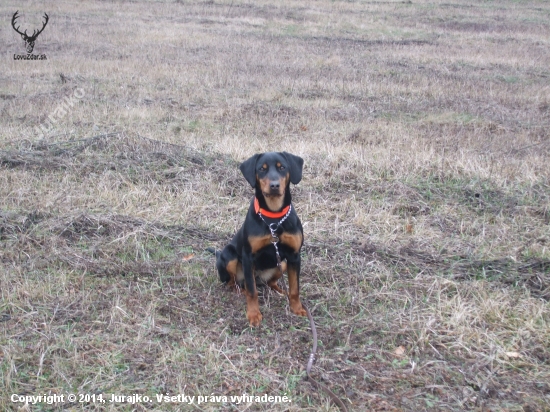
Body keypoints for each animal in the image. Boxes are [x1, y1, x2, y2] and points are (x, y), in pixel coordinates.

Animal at [210, 153, 308, 326]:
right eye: (262, 169)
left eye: (282, 167)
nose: (274, 185)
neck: (274, 217)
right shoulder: (249, 257)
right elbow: (252, 291)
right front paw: (254, 314)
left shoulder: (294, 256)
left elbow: (295, 288)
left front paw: (297, 308)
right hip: (230, 256)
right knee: (234, 284)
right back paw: (241, 291)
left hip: (281, 264)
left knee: (271, 283)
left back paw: (282, 292)